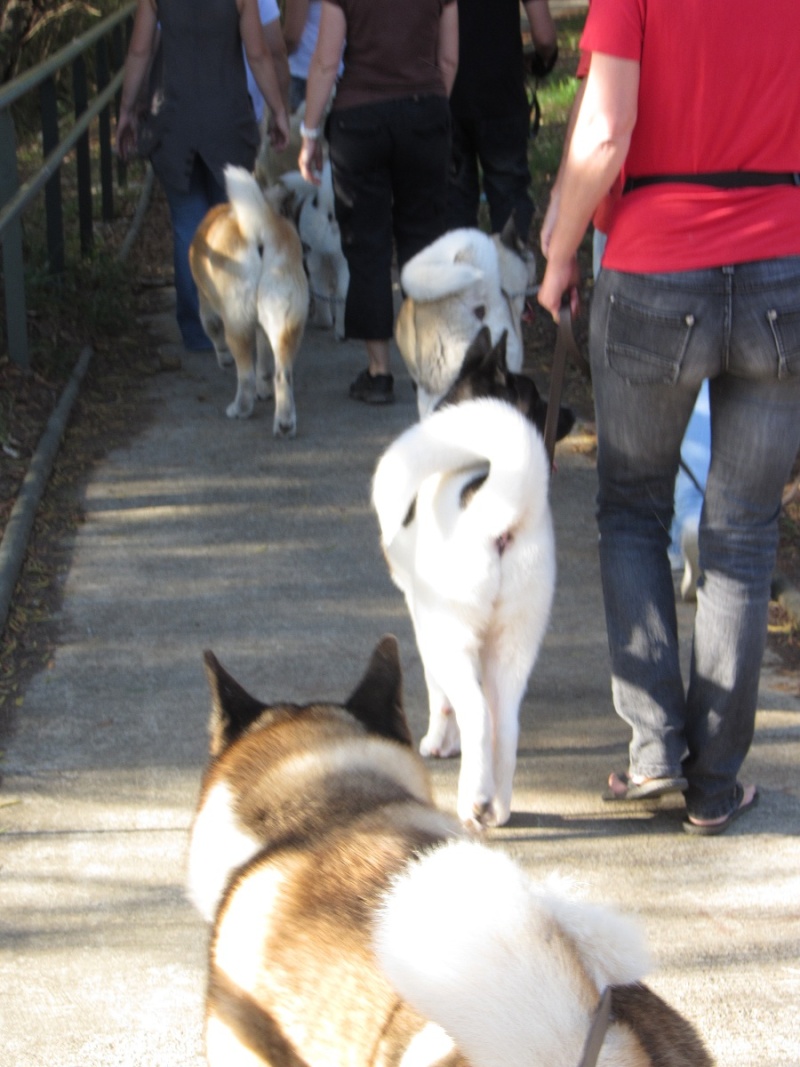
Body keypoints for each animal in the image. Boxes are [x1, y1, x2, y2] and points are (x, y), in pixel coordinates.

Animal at [189, 163, 309, 437]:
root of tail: (260, 229)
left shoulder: (207, 304)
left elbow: (213, 330)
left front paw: (223, 358)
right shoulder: (263, 325)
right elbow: (264, 361)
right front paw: (264, 392)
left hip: (237, 321)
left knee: (245, 375)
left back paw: (240, 409)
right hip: (285, 318)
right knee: (281, 374)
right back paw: (284, 423)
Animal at [373, 375, 554, 832]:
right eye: (536, 397)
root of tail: (496, 517)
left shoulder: (421, 615)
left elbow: (439, 695)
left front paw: (438, 743)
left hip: (450, 635)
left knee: (477, 714)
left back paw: (472, 802)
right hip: (516, 640)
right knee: (504, 724)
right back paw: (497, 806)